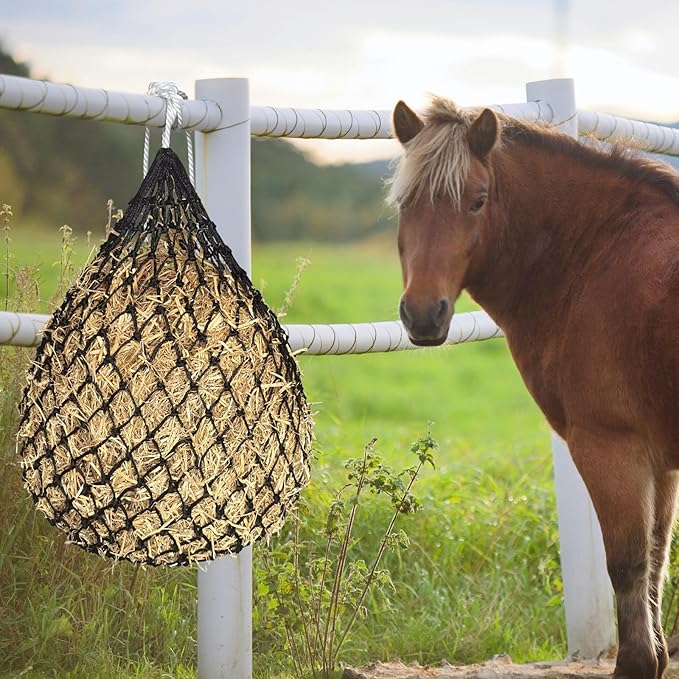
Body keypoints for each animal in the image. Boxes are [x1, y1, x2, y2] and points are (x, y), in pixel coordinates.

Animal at [389, 97, 679, 679]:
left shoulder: (611, 450)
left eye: (478, 202)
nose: (423, 314)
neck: (599, 252)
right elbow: (656, 562)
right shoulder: (659, 462)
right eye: (406, 203)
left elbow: (629, 568)